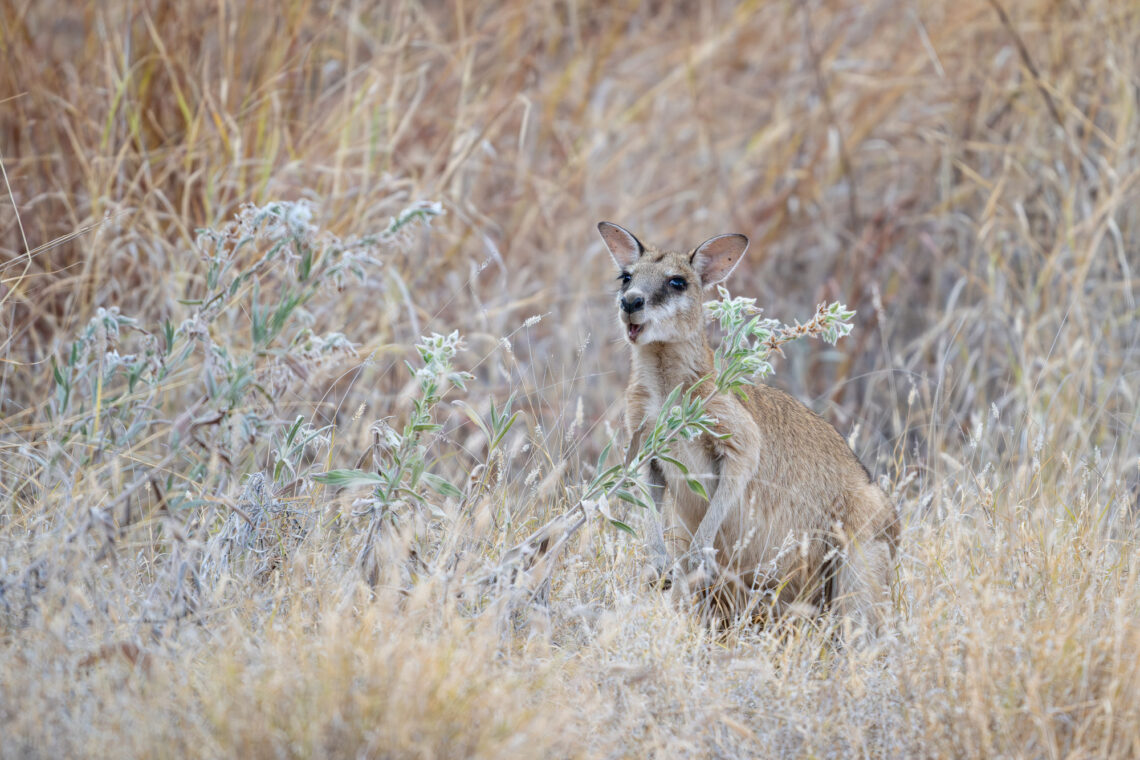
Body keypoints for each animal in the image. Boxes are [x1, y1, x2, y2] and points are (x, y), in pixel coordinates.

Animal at [598, 221, 898, 631]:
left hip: (859, 550)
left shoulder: (738, 437)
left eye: (677, 282)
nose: (629, 303)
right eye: (626, 277)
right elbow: (647, 495)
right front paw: (657, 565)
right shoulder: (644, 446)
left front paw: (700, 556)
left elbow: (735, 477)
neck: (665, 389)